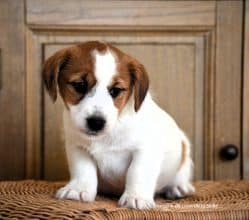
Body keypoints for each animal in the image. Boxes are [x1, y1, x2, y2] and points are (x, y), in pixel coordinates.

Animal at [42, 41, 195, 210]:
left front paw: (136, 197)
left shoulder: (146, 149)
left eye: (115, 90)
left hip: (184, 154)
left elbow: (137, 172)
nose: (96, 122)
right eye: (80, 85)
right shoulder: (78, 147)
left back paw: (178, 187)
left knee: (180, 174)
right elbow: (83, 170)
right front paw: (78, 189)